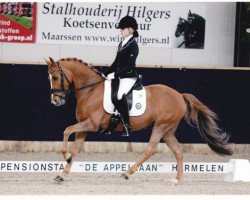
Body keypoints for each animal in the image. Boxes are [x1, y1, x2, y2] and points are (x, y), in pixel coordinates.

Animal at [45, 57, 232, 184]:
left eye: (55, 78)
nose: (55, 101)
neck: (90, 90)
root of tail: (179, 95)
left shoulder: (91, 124)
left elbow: (66, 130)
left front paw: (66, 157)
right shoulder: (84, 127)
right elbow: (75, 148)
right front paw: (62, 173)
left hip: (161, 126)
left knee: (151, 149)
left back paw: (127, 173)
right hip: (168, 131)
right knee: (178, 151)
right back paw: (177, 179)